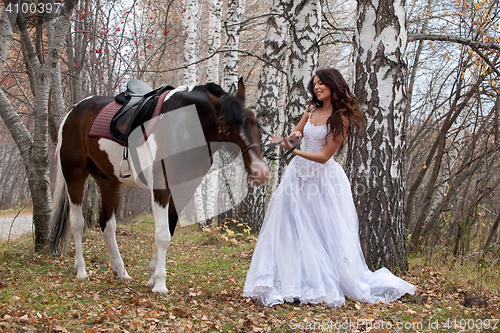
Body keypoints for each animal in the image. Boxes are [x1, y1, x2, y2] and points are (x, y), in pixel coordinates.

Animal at [47, 80, 270, 294]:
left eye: (255, 121)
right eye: (225, 124)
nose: (261, 171)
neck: (185, 127)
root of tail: (73, 112)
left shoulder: (184, 190)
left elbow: (168, 231)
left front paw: (152, 276)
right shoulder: (161, 188)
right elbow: (162, 236)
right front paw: (160, 284)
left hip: (108, 181)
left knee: (107, 224)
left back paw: (120, 271)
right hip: (75, 175)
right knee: (77, 223)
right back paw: (82, 271)